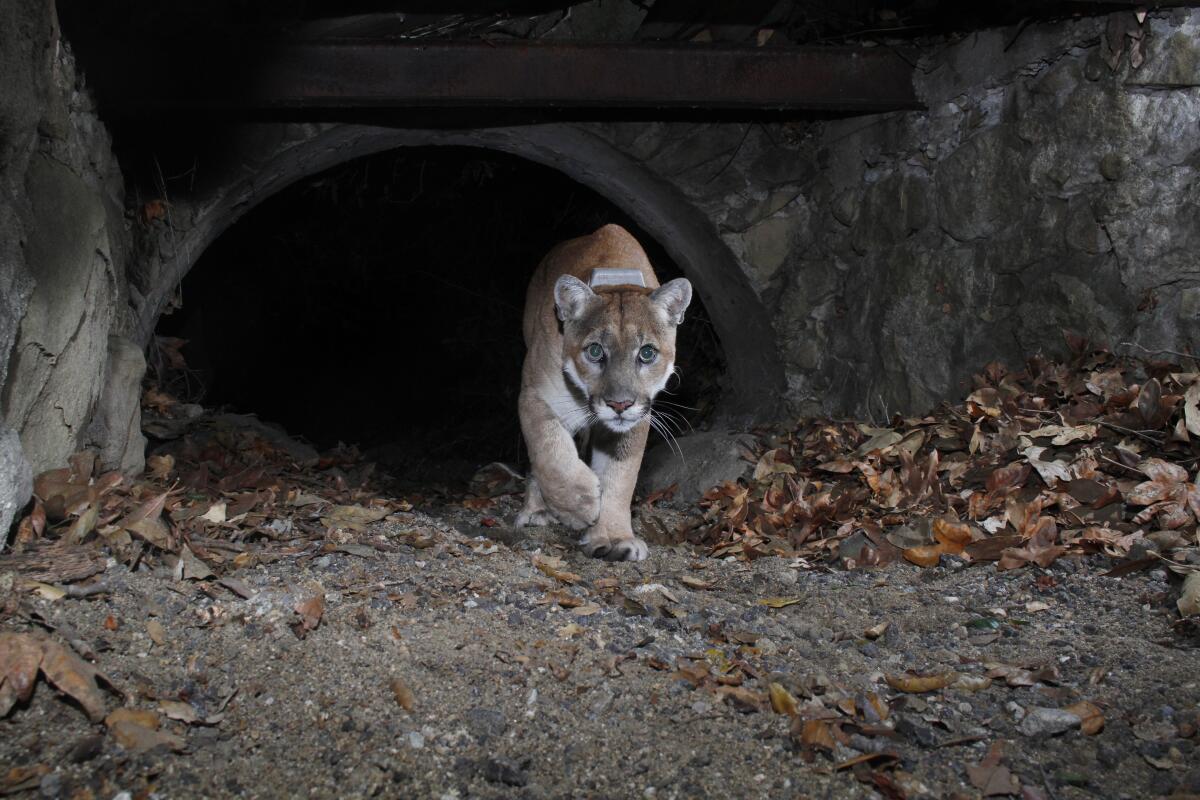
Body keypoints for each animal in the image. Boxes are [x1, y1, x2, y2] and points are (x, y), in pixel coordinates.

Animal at [516, 224, 696, 563]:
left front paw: (613, 537)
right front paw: (579, 505)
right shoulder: (535, 395)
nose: (619, 404)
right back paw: (536, 510)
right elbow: (549, 448)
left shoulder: (637, 418)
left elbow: (620, 476)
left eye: (647, 353)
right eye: (595, 351)